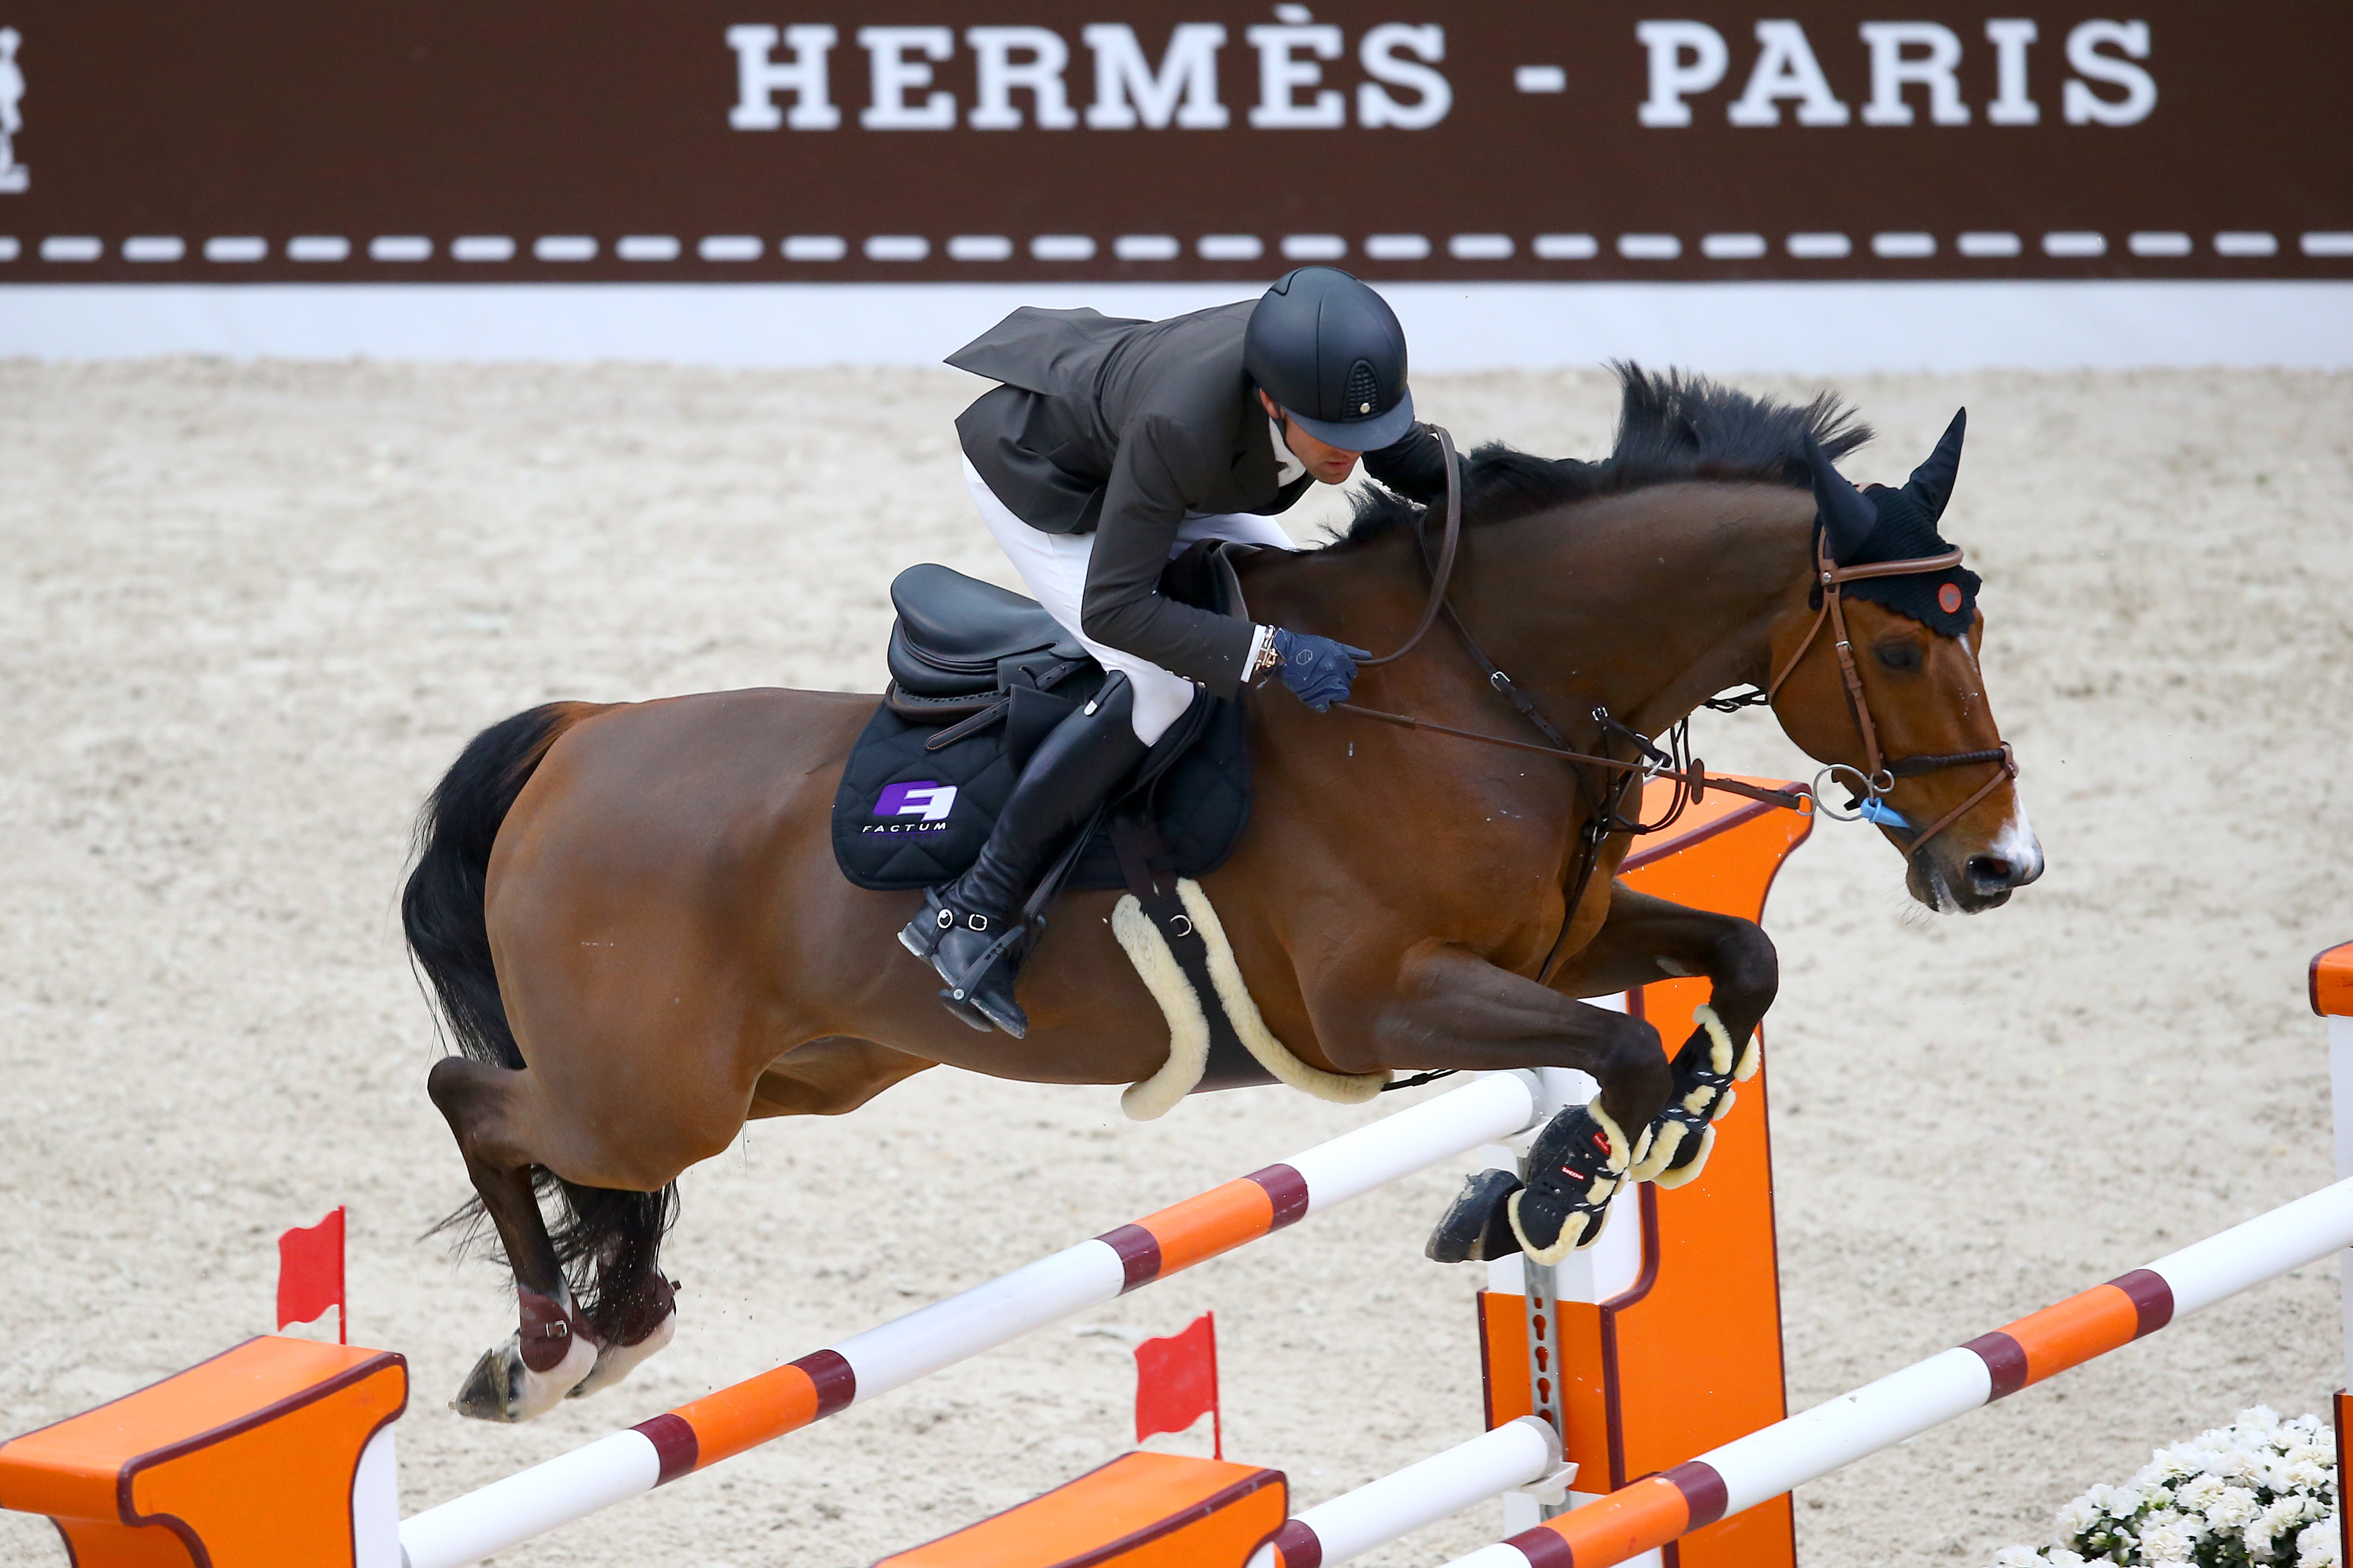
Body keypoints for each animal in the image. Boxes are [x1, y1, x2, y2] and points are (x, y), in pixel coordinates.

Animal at [404, 369, 2042, 1420]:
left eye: (1974, 627)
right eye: (1900, 647)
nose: (1996, 865)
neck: (1471, 693)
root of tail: (579, 735)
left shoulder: (1561, 939)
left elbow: (1733, 964)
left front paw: (1587, 1164)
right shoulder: (1382, 998)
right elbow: (1626, 1045)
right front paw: (1536, 1194)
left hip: (808, 1069)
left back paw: (610, 1322)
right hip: (653, 1093)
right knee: (474, 1098)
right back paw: (548, 1349)